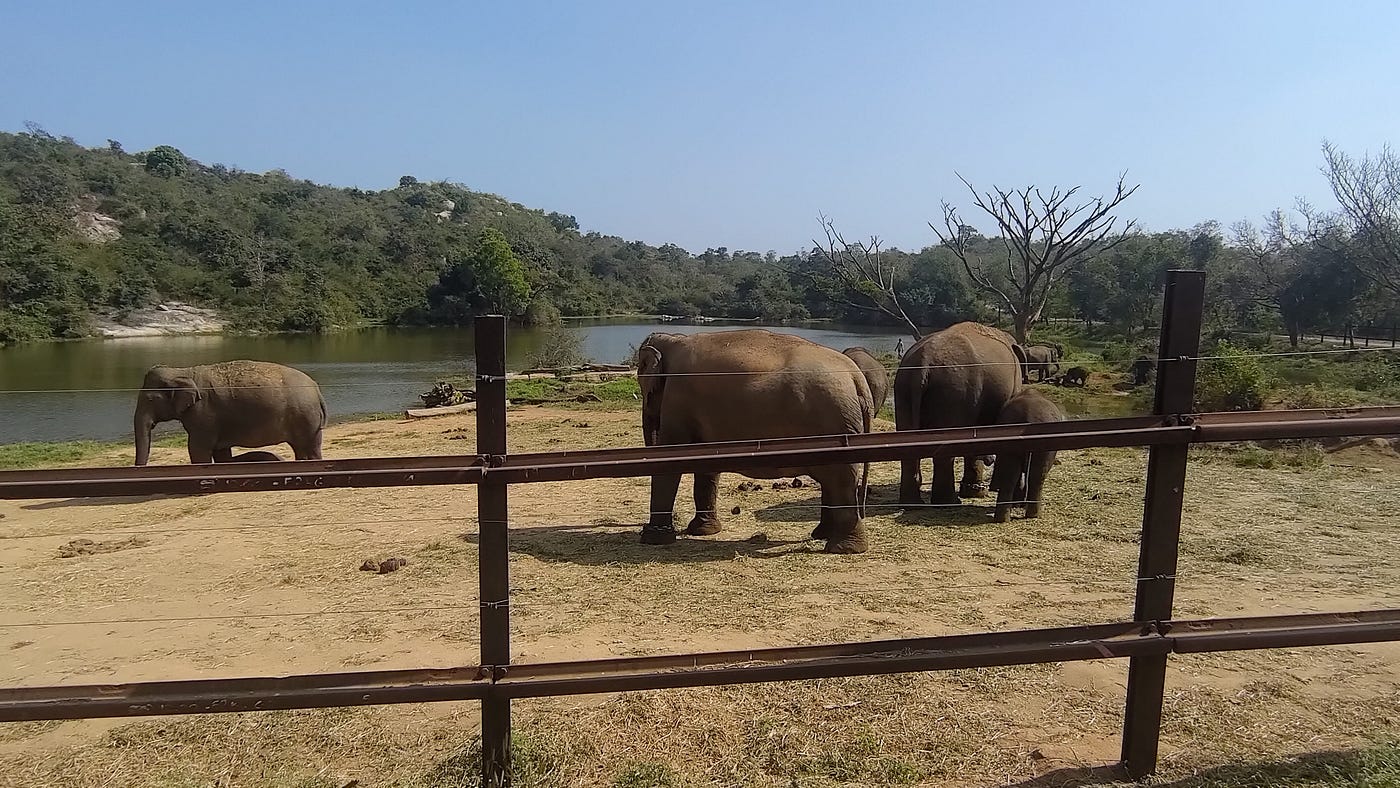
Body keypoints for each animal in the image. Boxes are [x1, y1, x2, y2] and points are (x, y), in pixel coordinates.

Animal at [132, 361, 326, 464]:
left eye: (149, 399)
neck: (182, 371)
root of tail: (316, 389)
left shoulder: (203, 415)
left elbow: (197, 448)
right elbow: (221, 451)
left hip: (305, 416)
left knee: (309, 447)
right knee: (302, 447)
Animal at [638, 328, 873, 554]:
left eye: (644, 387)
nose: (643, 530)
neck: (674, 338)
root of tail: (856, 378)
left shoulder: (677, 399)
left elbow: (670, 461)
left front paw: (652, 539)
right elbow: (707, 464)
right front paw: (703, 531)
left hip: (834, 423)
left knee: (840, 480)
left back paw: (842, 548)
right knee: (833, 480)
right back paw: (822, 535)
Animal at [896, 323, 1030, 509]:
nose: (990, 460)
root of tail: (923, 363)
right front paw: (978, 492)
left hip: (905, 389)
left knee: (907, 446)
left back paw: (912, 504)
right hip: (954, 392)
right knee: (945, 451)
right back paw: (949, 503)